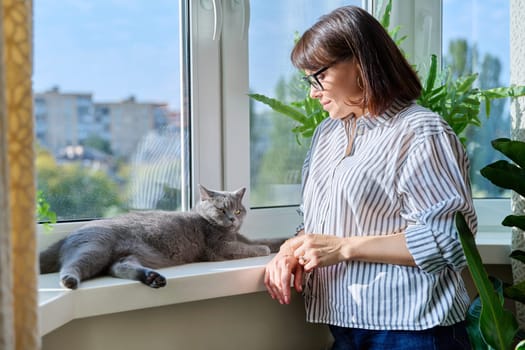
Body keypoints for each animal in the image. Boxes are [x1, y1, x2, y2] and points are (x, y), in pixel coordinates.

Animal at [40, 186, 286, 290]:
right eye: (221, 210)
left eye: (237, 210)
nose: (233, 219)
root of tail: (68, 236)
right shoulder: (218, 249)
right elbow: (248, 247)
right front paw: (264, 250)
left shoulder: (242, 237)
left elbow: (265, 240)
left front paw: (283, 241)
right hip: (94, 248)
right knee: (72, 265)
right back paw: (69, 280)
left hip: (125, 255)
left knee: (118, 267)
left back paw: (152, 278)